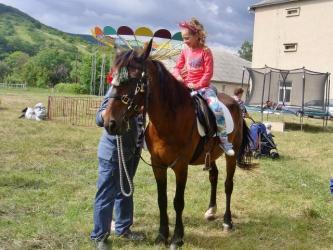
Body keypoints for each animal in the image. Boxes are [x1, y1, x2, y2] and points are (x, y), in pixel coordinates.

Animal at [104, 40, 254, 247]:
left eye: (132, 79)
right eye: (112, 77)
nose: (109, 122)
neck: (170, 118)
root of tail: (236, 105)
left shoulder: (181, 166)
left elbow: (178, 201)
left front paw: (177, 238)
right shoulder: (158, 165)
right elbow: (162, 199)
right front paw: (161, 235)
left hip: (231, 154)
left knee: (228, 184)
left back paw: (227, 221)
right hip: (210, 155)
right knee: (214, 177)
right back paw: (211, 211)